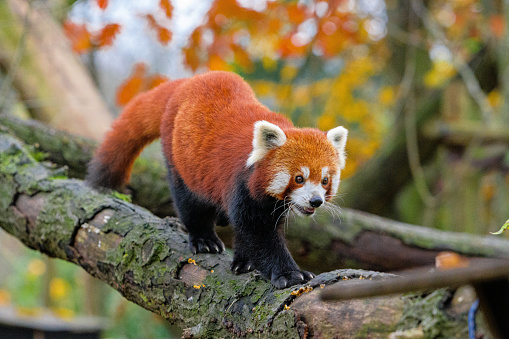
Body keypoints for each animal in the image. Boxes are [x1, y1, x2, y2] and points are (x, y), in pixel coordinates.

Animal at [87, 71, 348, 290]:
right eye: (299, 178)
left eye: (325, 180)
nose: (315, 201)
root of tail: (187, 82)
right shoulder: (240, 184)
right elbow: (259, 233)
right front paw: (289, 274)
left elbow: (250, 230)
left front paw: (244, 261)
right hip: (181, 158)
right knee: (189, 202)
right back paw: (204, 239)